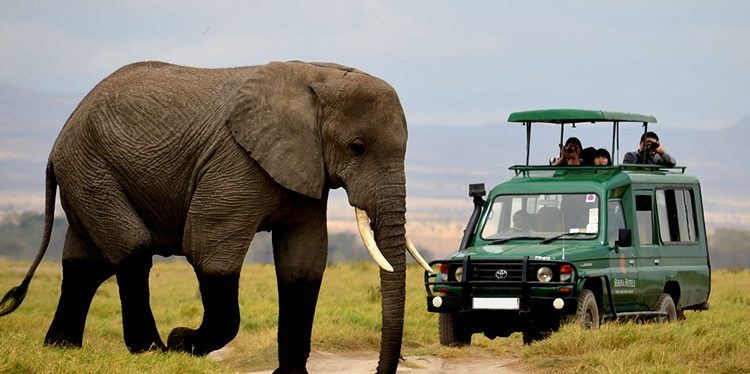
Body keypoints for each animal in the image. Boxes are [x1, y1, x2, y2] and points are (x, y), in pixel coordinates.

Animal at [0, 60, 432, 374]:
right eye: (357, 147)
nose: (380, 369)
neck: (317, 76)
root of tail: (59, 141)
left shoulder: (306, 166)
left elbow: (304, 261)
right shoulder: (235, 164)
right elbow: (208, 249)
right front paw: (180, 342)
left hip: (87, 175)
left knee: (85, 263)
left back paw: (61, 349)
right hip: (91, 170)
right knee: (132, 250)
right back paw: (151, 351)